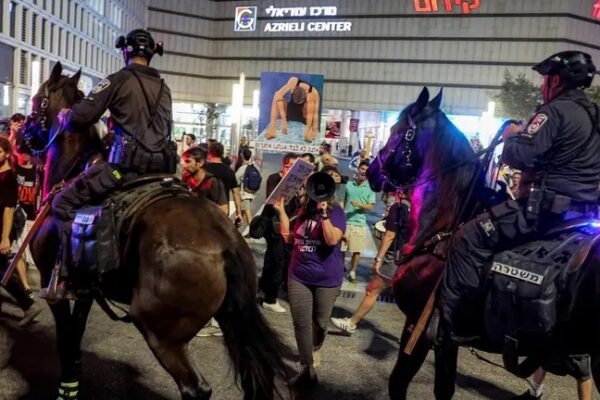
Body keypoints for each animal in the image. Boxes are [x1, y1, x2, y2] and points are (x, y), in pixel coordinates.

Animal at [16, 62, 292, 400]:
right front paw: (72, 384)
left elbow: (65, 343)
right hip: (231, 319)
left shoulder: (53, 285)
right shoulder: (84, 290)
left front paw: (65, 388)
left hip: (160, 331)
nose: (21, 138)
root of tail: (225, 242)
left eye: (36, 101)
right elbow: (75, 341)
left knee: (196, 388)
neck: (72, 170)